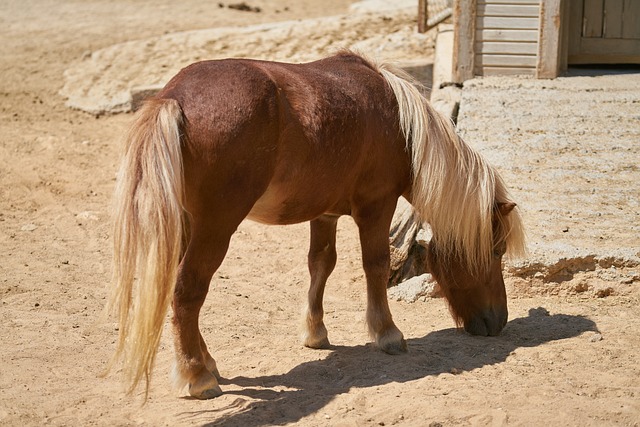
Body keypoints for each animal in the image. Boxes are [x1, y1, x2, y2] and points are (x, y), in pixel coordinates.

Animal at [106, 51, 524, 400]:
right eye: (496, 250)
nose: (498, 321)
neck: (401, 124)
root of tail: (173, 99)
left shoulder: (325, 214)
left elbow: (321, 265)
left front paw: (315, 333)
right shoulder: (377, 205)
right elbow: (375, 265)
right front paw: (387, 333)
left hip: (188, 226)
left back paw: (206, 362)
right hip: (215, 228)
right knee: (187, 291)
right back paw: (197, 376)